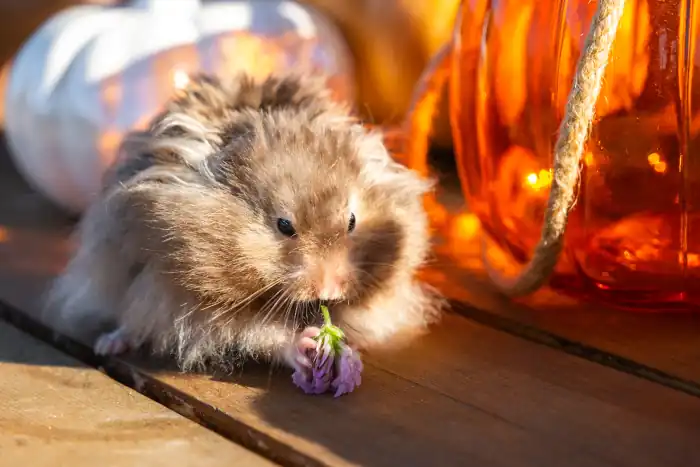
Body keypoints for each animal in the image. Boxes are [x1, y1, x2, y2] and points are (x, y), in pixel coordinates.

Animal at [44, 72, 444, 373]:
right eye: (284, 225)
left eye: (352, 221)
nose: (330, 290)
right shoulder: (189, 303)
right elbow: (257, 333)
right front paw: (307, 345)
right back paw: (108, 345)